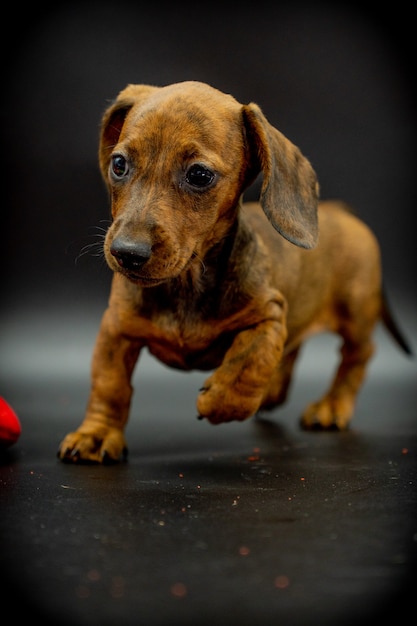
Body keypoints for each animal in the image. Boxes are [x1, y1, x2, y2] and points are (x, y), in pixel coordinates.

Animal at [57, 80, 412, 460]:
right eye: (119, 164)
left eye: (199, 175)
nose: (126, 253)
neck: (187, 283)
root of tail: (342, 211)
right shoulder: (116, 327)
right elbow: (109, 385)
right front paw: (96, 433)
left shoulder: (270, 314)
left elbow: (250, 360)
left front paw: (221, 401)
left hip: (356, 314)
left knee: (356, 357)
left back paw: (332, 406)